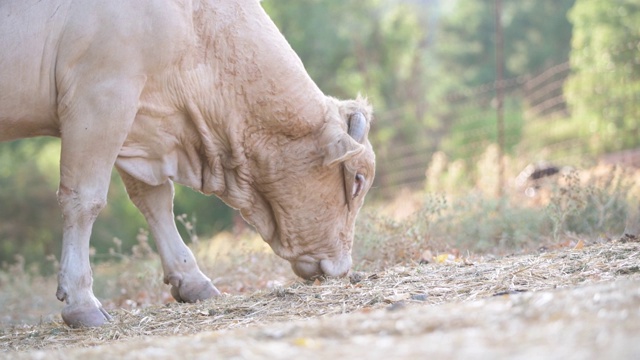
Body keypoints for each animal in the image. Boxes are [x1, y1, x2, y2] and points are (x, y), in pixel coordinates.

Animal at [1, 0, 376, 326]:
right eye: (358, 180)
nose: (343, 268)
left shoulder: (141, 122)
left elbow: (155, 201)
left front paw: (192, 280)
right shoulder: (102, 97)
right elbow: (84, 200)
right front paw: (82, 303)